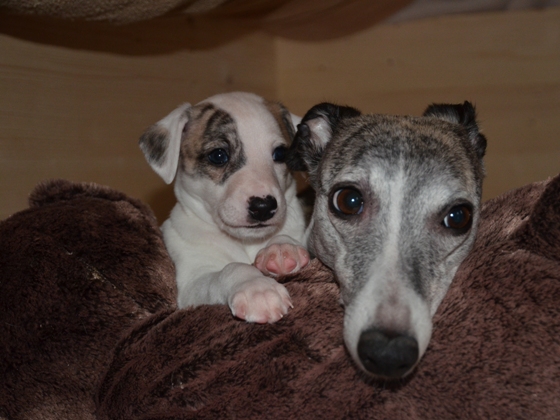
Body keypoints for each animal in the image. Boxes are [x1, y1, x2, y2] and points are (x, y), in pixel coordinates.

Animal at [139, 92, 309, 324]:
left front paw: (282, 248)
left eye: (280, 154)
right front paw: (256, 288)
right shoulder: (192, 282)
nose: (263, 206)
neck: (245, 243)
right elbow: (230, 268)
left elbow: (285, 238)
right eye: (218, 155)